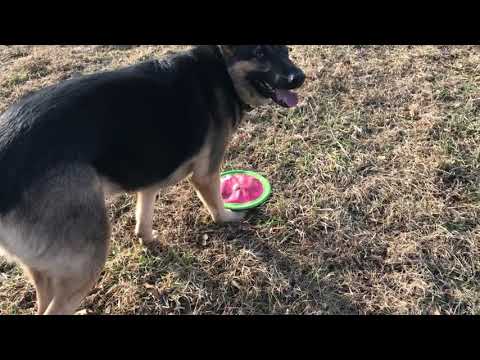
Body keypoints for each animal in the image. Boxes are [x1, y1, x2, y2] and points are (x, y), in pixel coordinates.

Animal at [0, 45, 306, 316]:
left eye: (286, 50)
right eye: (259, 53)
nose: (299, 77)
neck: (222, 70)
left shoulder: (149, 178)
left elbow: (143, 215)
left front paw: (147, 238)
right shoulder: (206, 175)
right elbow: (217, 207)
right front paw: (229, 218)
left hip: (44, 270)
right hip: (86, 258)